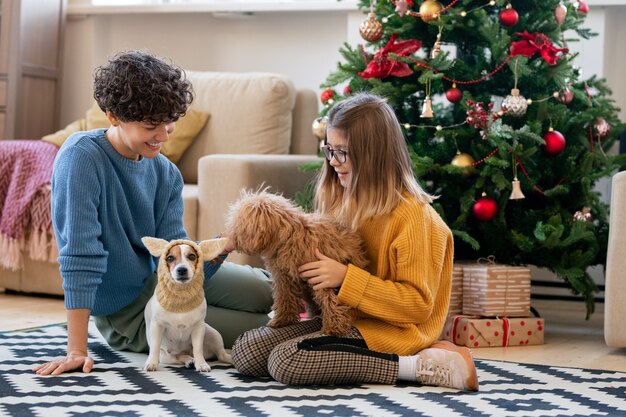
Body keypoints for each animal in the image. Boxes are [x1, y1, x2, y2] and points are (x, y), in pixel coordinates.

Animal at [140, 236, 233, 372]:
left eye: (192, 256)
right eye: (170, 258)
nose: (182, 269)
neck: (181, 299)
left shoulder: (198, 328)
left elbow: (198, 349)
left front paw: (201, 364)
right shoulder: (157, 327)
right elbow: (154, 348)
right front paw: (151, 363)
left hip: (212, 333)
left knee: (221, 355)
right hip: (166, 356)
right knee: (178, 357)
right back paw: (189, 360)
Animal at [223, 190, 366, 336]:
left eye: (240, 223)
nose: (231, 238)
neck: (288, 238)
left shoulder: (319, 274)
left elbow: (328, 298)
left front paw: (334, 326)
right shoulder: (283, 278)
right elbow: (285, 297)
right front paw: (282, 320)